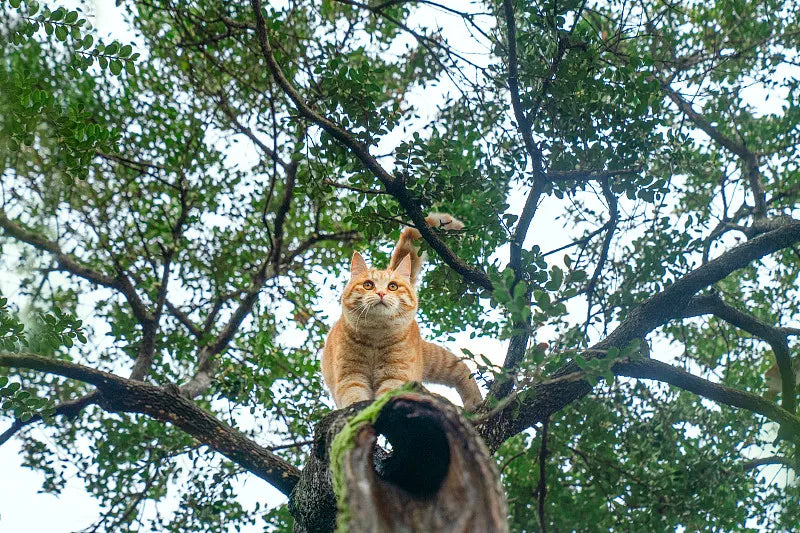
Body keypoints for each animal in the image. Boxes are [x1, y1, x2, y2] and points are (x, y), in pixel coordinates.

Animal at [318, 214, 482, 410]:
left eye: (393, 286)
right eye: (368, 285)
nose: (381, 293)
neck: (376, 337)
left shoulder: (395, 377)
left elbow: (387, 395)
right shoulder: (350, 376)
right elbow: (355, 398)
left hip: (438, 360)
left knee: (463, 370)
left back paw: (475, 400)